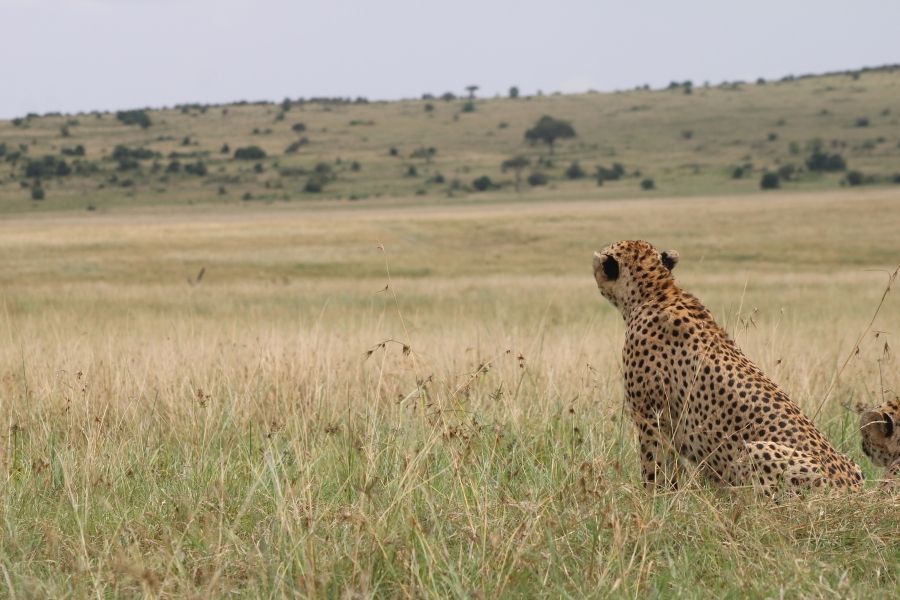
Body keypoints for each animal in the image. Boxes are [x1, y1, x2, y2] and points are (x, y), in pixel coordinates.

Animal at [596, 241, 860, 494]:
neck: (656, 290)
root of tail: (852, 490)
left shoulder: (651, 416)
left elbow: (656, 468)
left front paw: (654, 500)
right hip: (855, 464)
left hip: (755, 451)